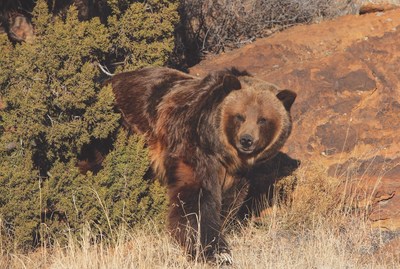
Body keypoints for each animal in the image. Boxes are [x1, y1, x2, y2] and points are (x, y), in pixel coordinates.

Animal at [110, 66, 296, 262]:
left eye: (262, 119)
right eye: (240, 116)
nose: (246, 140)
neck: (223, 152)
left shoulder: (237, 174)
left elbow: (231, 201)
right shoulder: (193, 148)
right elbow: (197, 201)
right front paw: (215, 250)